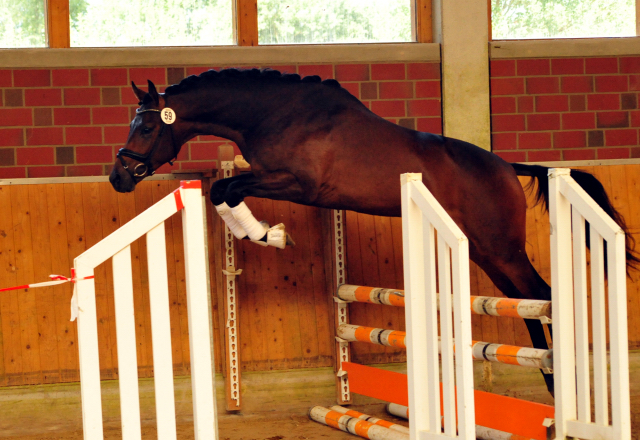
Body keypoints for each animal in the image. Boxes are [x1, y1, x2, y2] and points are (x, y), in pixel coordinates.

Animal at [109, 69, 636, 396]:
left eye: (145, 129)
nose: (118, 178)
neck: (276, 114)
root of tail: (507, 167)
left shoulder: (297, 184)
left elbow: (226, 188)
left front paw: (270, 235)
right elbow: (223, 189)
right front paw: (266, 235)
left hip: (500, 247)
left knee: (540, 295)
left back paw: (561, 380)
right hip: (486, 251)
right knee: (524, 302)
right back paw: (546, 377)